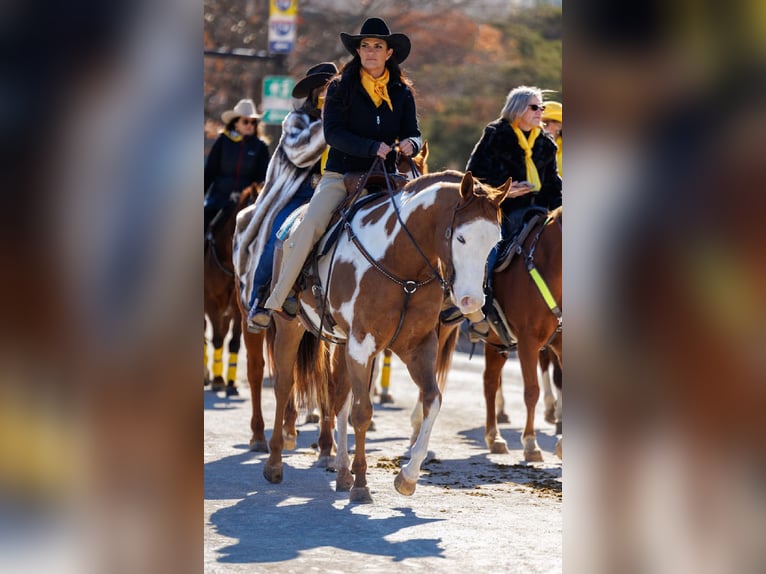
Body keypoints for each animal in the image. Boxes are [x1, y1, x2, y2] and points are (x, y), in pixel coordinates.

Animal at [264, 171, 510, 504]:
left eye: (494, 242)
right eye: (461, 238)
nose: (471, 301)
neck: (401, 264)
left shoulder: (417, 346)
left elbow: (432, 400)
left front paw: (407, 476)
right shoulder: (362, 345)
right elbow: (362, 412)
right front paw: (361, 484)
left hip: (342, 343)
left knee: (339, 398)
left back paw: (342, 472)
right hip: (290, 326)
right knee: (283, 387)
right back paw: (275, 463)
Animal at [486, 207, 564, 464]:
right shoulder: (527, 342)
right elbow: (532, 391)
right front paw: (530, 443)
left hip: (496, 339)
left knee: (489, 382)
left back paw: (494, 437)